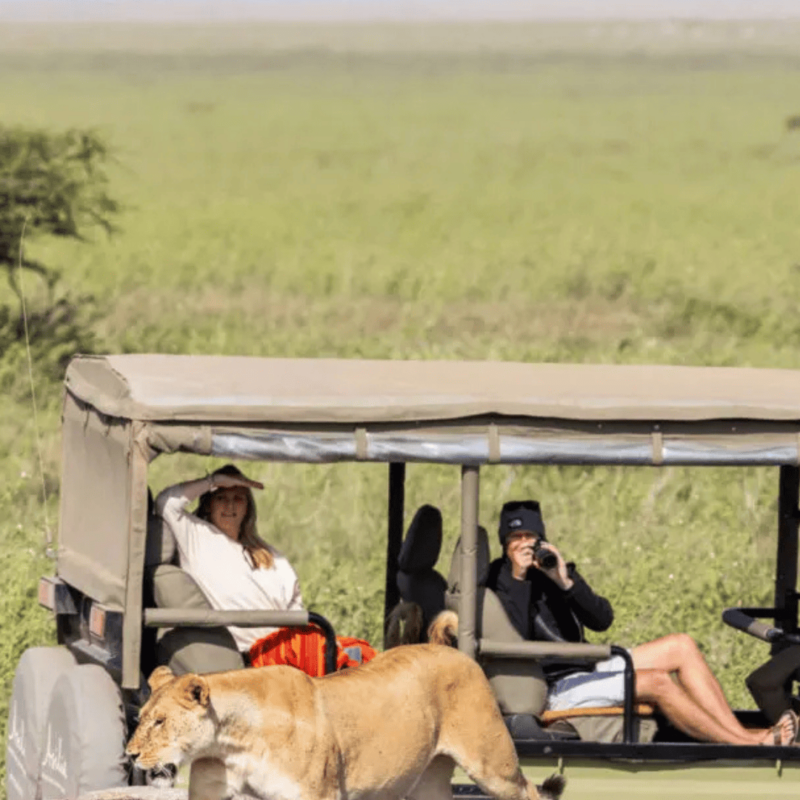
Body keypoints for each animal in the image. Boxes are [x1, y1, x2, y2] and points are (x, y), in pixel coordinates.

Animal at [127, 643, 565, 800]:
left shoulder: (317, 795)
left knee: (529, 791)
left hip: (493, 766)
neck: (232, 741)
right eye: (142, 718)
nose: (130, 755)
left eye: (160, 722)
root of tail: (459, 651)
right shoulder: (212, 792)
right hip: (424, 782)